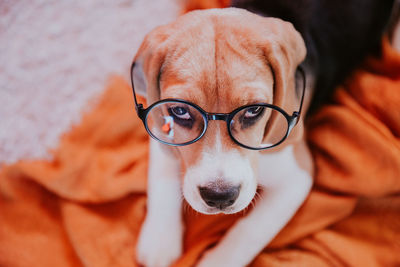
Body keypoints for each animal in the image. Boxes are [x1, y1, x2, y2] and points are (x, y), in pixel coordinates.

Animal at [130, 1, 394, 266]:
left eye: (254, 110)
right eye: (180, 111)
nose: (219, 196)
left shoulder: (297, 175)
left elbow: (250, 231)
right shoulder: (158, 124)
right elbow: (163, 168)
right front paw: (160, 241)